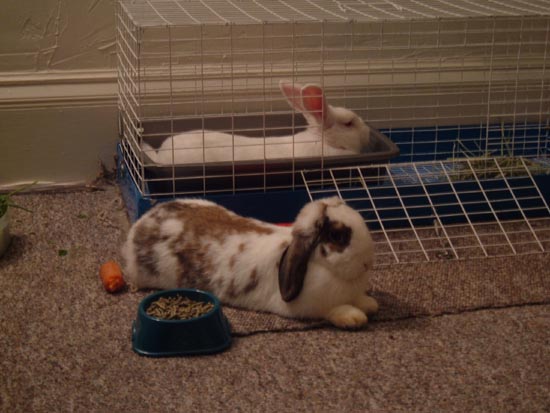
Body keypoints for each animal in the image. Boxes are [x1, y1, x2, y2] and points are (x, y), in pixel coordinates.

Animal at [122, 196, 380, 328]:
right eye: (337, 236)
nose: (368, 263)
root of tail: (142, 222)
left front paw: (370, 304)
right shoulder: (314, 307)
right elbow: (334, 310)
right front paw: (354, 317)